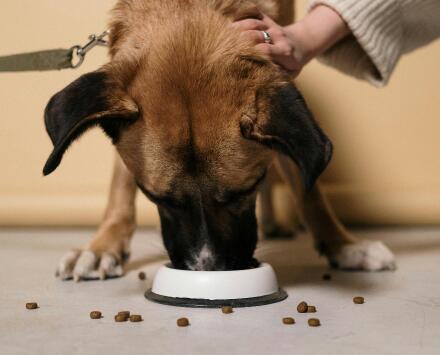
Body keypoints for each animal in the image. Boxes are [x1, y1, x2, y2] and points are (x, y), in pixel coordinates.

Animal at [44, 0, 396, 280]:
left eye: (243, 192)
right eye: (158, 198)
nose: (208, 270)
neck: (186, 12)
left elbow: (308, 188)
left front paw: (344, 245)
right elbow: (120, 186)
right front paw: (102, 246)